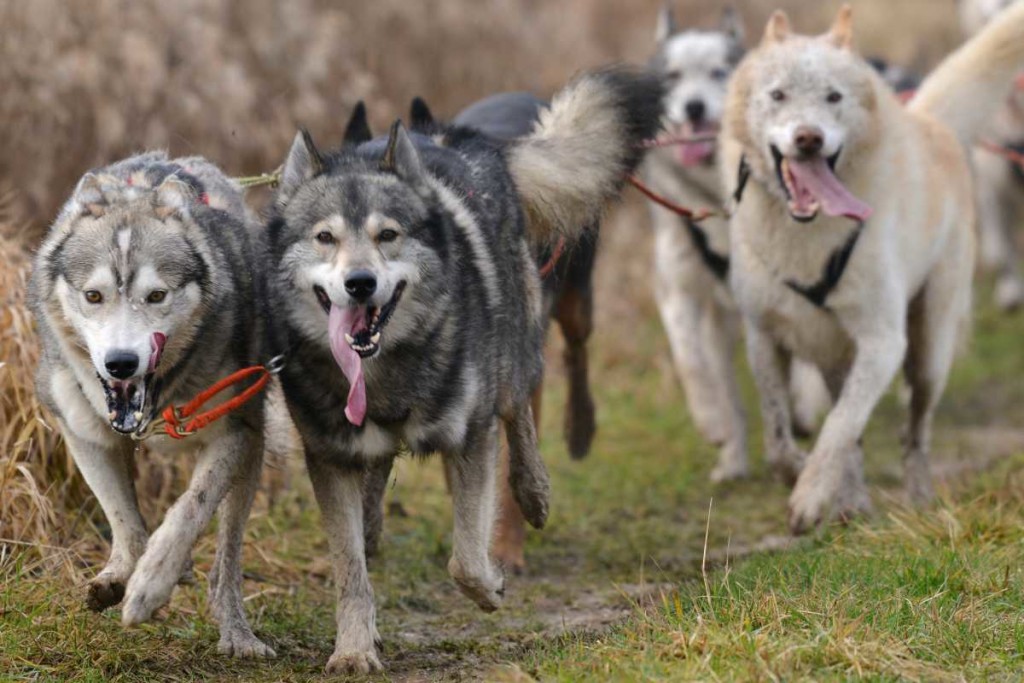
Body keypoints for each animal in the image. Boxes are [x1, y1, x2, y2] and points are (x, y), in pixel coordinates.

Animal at [720, 2, 1024, 532]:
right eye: (777, 94)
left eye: (833, 96)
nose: (808, 138)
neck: (806, 236)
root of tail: (928, 120)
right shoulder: (764, 335)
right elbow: (779, 435)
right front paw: (799, 474)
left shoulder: (883, 342)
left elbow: (839, 427)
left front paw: (809, 494)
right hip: (836, 359)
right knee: (855, 437)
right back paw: (853, 505)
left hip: (928, 354)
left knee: (913, 433)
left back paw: (917, 496)